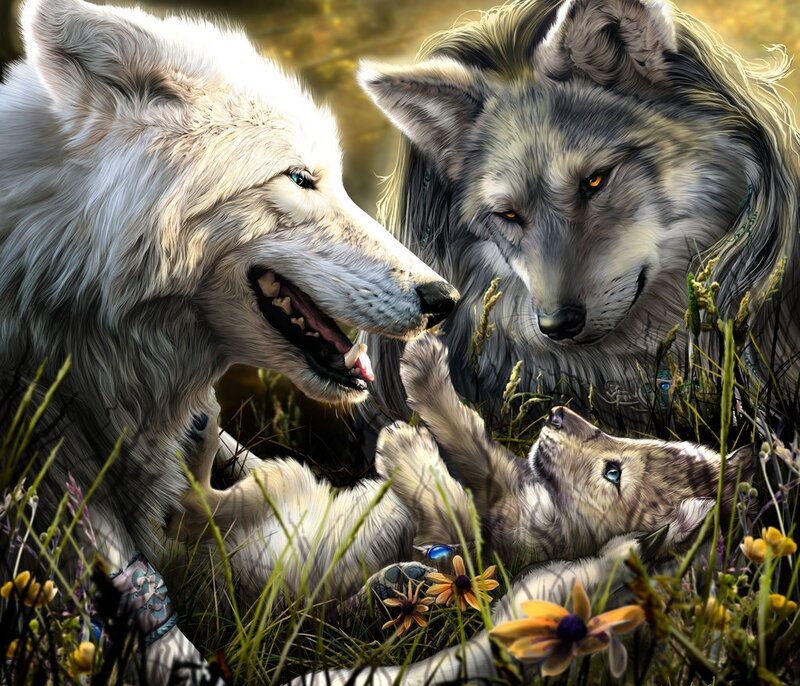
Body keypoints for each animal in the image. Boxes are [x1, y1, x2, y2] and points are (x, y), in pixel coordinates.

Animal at [288, 334, 754, 684]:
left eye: (614, 473)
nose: (558, 413)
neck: (554, 513)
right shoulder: (503, 484)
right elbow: (470, 436)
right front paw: (424, 365)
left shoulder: (483, 549)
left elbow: (448, 499)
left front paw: (404, 444)